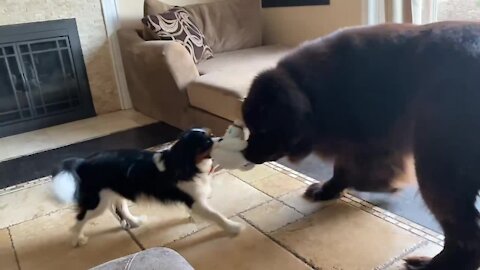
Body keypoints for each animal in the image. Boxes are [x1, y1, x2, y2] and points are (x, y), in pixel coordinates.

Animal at [51, 129, 244, 247]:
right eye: (206, 143)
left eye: (211, 135)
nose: (220, 138)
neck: (185, 163)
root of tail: (83, 162)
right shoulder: (195, 200)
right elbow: (216, 215)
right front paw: (233, 228)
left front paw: (195, 219)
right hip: (97, 202)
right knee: (80, 219)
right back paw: (77, 240)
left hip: (117, 190)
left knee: (121, 206)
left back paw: (135, 221)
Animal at [242, 21, 480, 270]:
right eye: (250, 127)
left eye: (263, 129)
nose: (245, 153)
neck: (312, 92)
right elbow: (342, 169)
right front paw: (329, 189)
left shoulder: (371, 140)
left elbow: (359, 171)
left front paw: (383, 185)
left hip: (436, 168)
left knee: (466, 235)